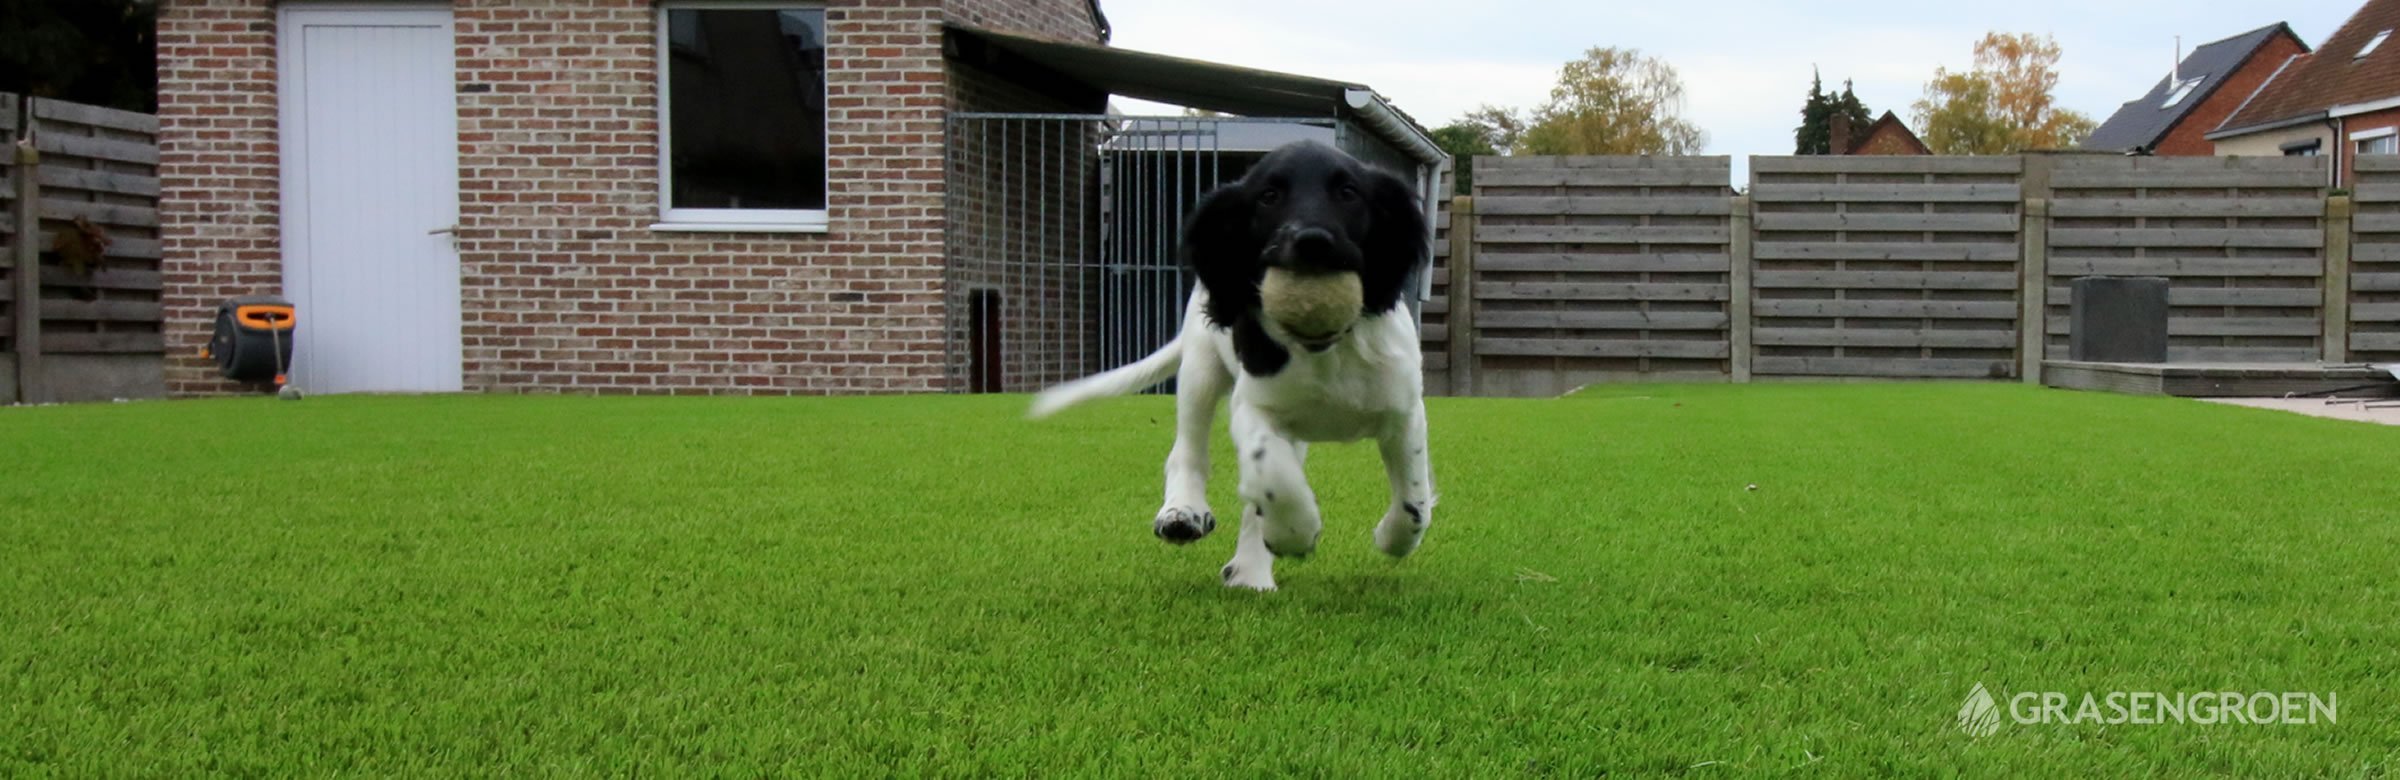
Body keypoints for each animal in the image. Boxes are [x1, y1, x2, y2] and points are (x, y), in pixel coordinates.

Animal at [1027, 141, 1430, 590]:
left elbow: (1414, 500)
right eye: (1268, 196)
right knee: (1189, 452)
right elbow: (1274, 476)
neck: (1323, 351)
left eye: (1348, 192)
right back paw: (1192, 519)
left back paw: (1249, 571)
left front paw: (1392, 538)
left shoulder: (1404, 412)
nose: (1311, 241)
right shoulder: (1254, 406)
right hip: (1199, 372)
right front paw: (1295, 533)